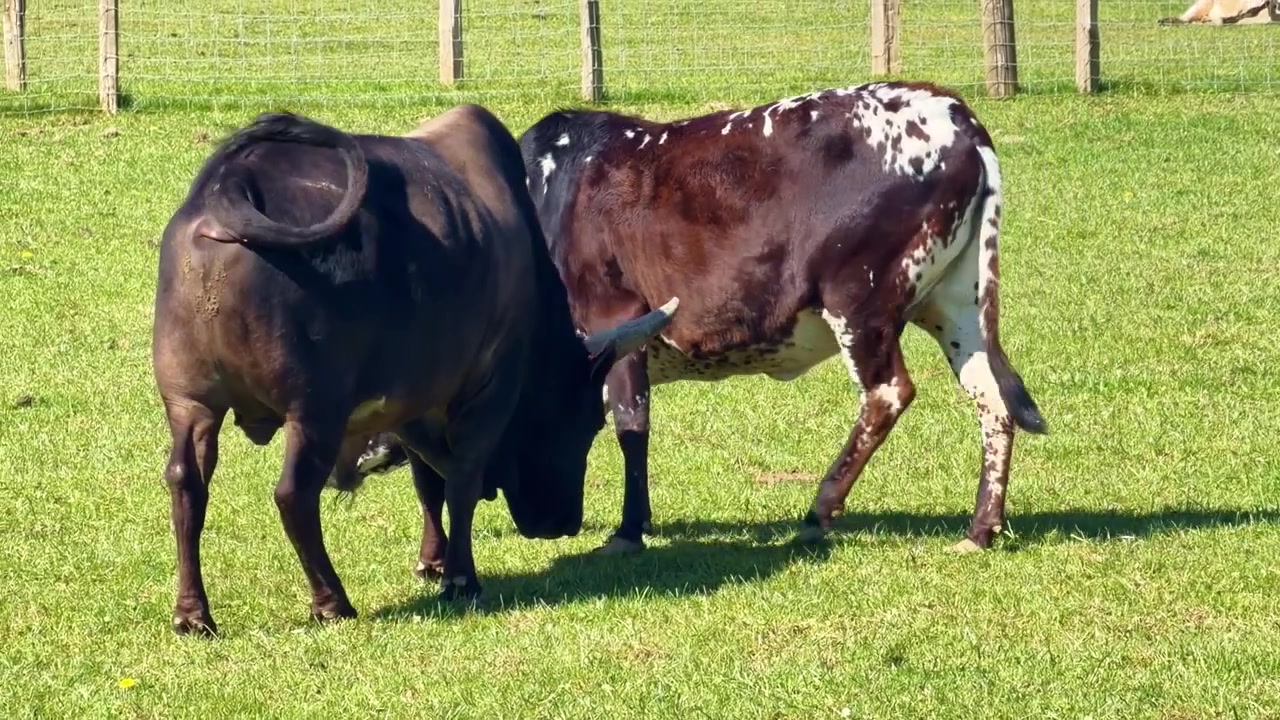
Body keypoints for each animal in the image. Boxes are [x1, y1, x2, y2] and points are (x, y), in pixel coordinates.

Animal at [151, 105, 678, 635]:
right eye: (589, 422)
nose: (563, 522)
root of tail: (231, 186)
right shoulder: (488, 389)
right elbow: (462, 479)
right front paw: (461, 578)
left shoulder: (414, 402)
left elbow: (429, 482)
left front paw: (434, 561)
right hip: (314, 409)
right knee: (293, 494)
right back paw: (332, 601)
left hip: (191, 404)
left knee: (186, 483)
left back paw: (192, 613)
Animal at [355, 81, 1048, 556]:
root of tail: (955, 115)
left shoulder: (614, 325)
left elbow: (630, 424)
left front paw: (628, 531)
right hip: (956, 304)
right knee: (992, 400)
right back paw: (981, 528)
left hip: (860, 300)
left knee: (888, 393)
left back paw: (820, 509)